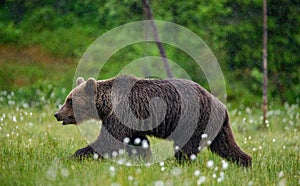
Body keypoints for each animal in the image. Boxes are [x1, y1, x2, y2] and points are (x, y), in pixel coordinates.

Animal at [54, 75, 253, 167]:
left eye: (69, 101)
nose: (57, 114)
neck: (108, 104)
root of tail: (222, 106)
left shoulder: (122, 113)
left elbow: (108, 141)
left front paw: (73, 155)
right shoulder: (133, 122)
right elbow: (137, 142)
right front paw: (144, 159)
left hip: (193, 121)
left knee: (187, 148)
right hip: (217, 126)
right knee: (225, 145)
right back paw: (246, 162)